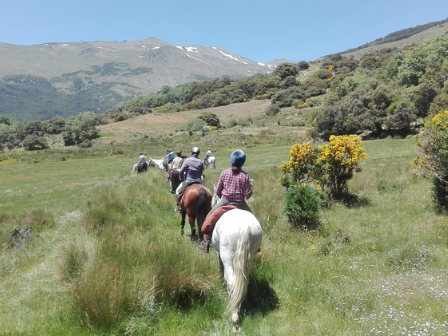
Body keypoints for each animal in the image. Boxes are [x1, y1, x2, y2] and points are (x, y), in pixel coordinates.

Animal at [211, 190, 262, 332]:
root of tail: (245, 227)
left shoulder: (218, 254)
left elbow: (220, 266)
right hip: (249, 256)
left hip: (228, 257)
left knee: (231, 282)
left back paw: (235, 319)